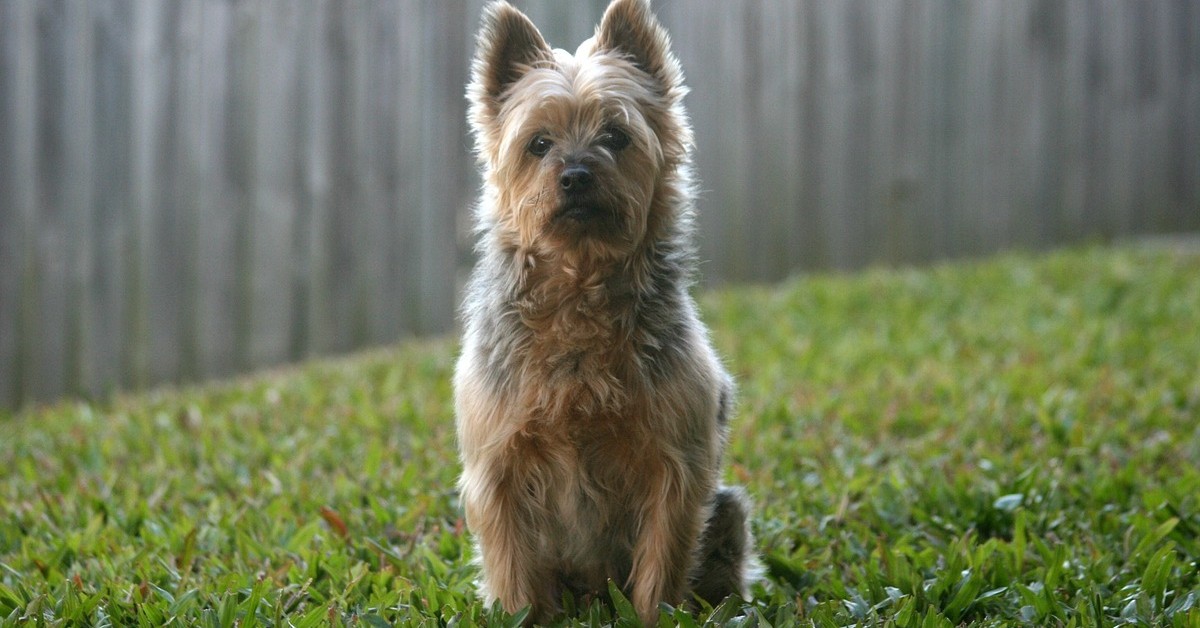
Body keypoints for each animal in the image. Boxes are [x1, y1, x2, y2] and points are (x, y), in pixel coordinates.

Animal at [453, 0, 753, 619]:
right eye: (538, 144)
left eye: (616, 136)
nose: (575, 175)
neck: (579, 288)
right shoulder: (498, 467)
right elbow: (513, 568)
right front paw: (523, 616)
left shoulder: (675, 466)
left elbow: (662, 559)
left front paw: (655, 616)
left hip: (729, 510)